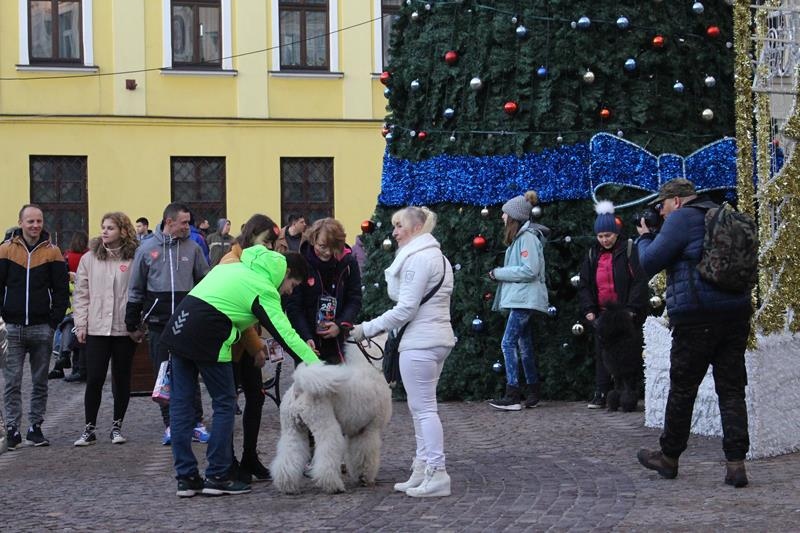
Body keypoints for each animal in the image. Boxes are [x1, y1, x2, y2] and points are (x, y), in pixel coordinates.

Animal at [271, 339, 392, 494]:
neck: (370, 368)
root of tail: (299, 388)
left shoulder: (355, 431)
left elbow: (355, 455)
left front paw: (358, 476)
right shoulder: (369, 430)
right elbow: (365, 454)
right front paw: (365, 477)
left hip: (292, 429)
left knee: (289, 455)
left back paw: (287, 486)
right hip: (324, 424)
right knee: (326, 454)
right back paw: (334, 486)